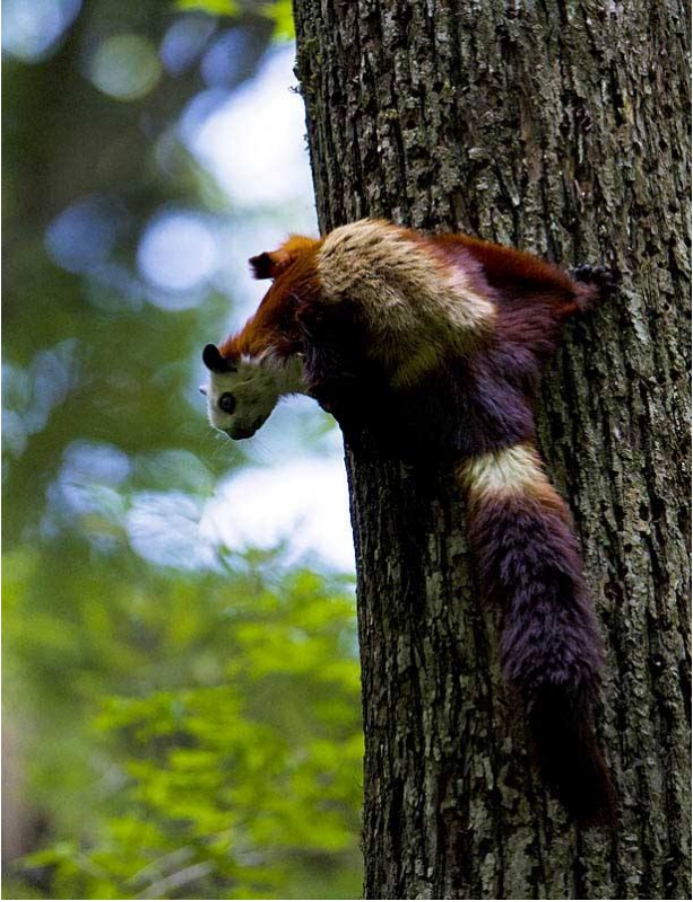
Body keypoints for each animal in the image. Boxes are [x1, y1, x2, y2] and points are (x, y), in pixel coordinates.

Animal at [200, 219, 616, 828]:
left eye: (226, 402)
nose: (233, 434)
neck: (263, 344)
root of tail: (466, 370)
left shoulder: (305, 335)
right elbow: (289, 251)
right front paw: (264, 261)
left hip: (426, 344)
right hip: (518, 322)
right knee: (545, 297)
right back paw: (580, 296)